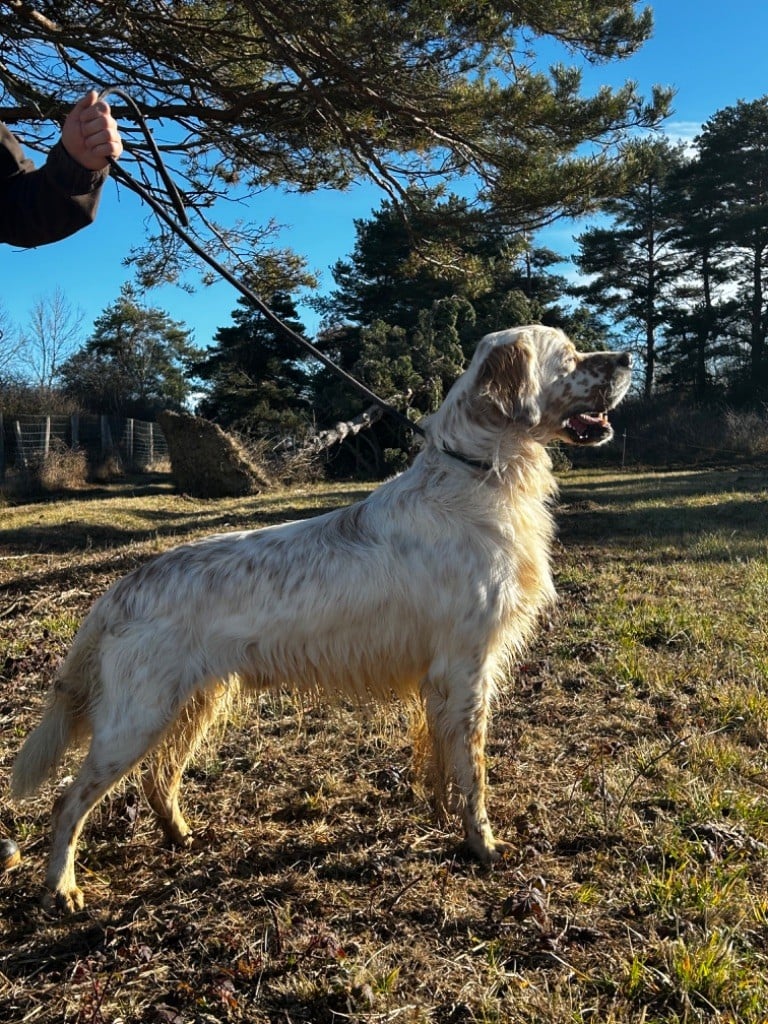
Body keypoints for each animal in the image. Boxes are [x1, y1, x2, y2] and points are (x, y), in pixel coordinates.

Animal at [13, 323, 630, 909]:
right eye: (569, 357)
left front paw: (441, 820)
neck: (478, 474)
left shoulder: (440, 682)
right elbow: (472, 772)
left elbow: (440, 763)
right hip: (137, 717)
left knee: (158, 779)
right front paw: (484, 845)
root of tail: (123, 587)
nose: (625, 358)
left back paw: (182, 836)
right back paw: (61, 887)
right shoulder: (465, 669)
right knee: (69, 799)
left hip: (193, 702)